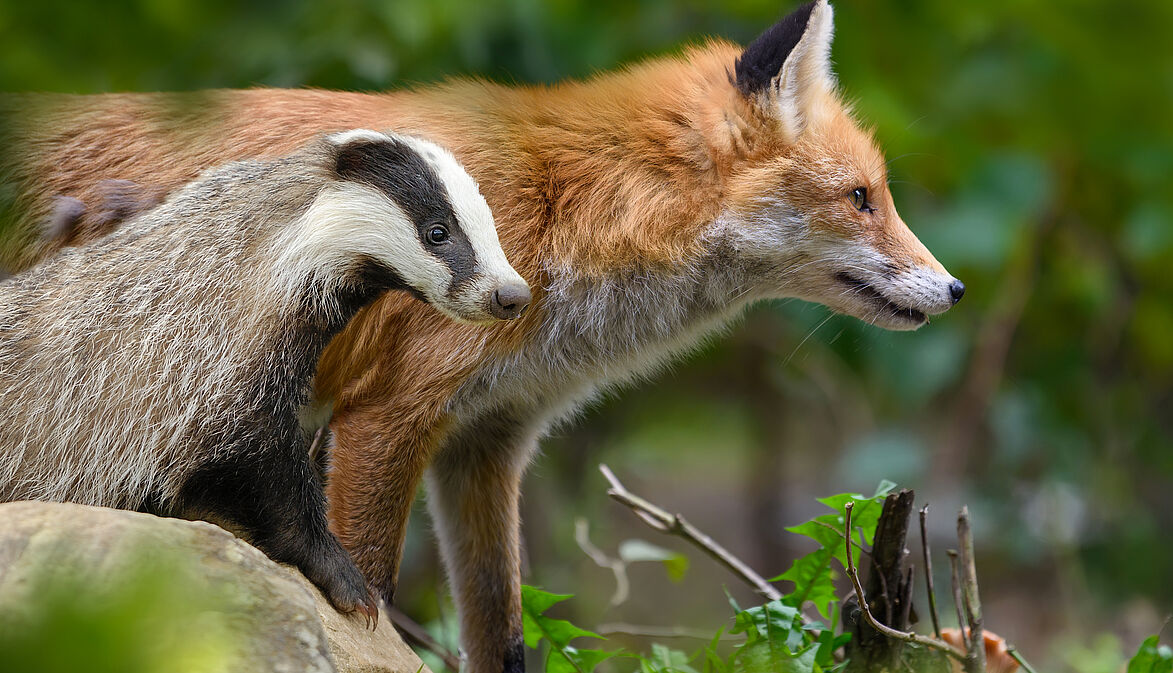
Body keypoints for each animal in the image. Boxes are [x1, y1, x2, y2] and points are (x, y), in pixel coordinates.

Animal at [0, 2, 962, 671]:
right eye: (861, 199)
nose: (953, 288)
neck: (563, 210)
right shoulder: (385, 416)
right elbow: (372, 586)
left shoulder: (488, 442)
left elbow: (499, 631)